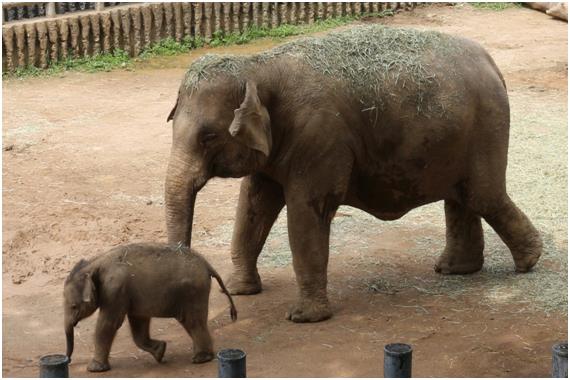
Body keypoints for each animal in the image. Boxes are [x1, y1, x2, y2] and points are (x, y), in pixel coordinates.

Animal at [63, 243, 236, 372]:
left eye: (73, 306)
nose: (68, 360)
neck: (94, 264)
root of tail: (208, 265)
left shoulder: (114, 291)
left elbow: (108, 324)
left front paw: (94, 369)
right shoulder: (130, 295)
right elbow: (138, 323)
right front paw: (160, 352)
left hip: (194, 292)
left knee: (193, 321)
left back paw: (201, 359)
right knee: (192, 322)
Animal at [164, 26, 540, 324]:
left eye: (208, 137)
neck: (258, 65)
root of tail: (492, 63)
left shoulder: (319, 137)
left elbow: (305, 213)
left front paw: (304, 318)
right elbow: (253, 205)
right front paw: (243, 289)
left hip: (486, 127)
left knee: (484, 196)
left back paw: (528, 262)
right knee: (461, 197)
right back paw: (455, 269)